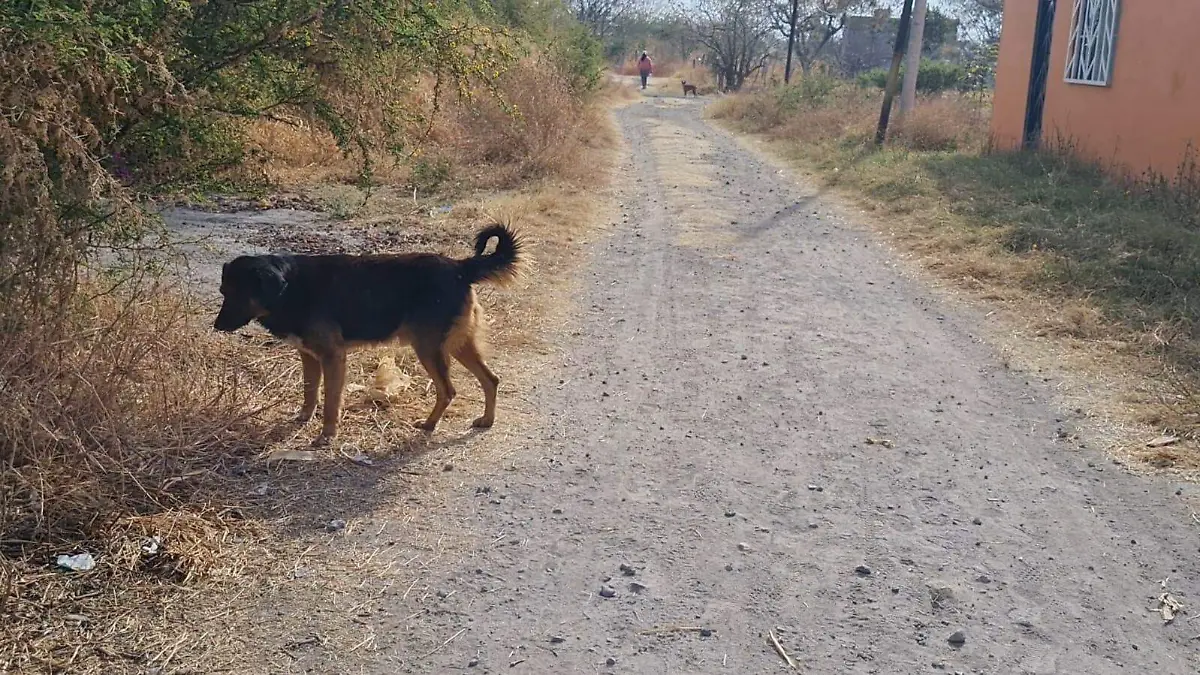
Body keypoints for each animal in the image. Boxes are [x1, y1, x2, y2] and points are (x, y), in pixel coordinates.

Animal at [214, 222, 520, 441]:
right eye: (223, 292)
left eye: (239, 293)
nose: (216, 326)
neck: (290, 287)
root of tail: (459, 266)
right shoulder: (309, 356)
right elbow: (310, 392)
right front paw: (304, 418)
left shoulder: (333, 357)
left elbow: (330, 400)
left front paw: (327, 435)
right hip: (456, 344)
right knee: (491, 379)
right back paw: (486, 420)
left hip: (429, 348)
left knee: (448, 390)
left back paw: (430, 424)